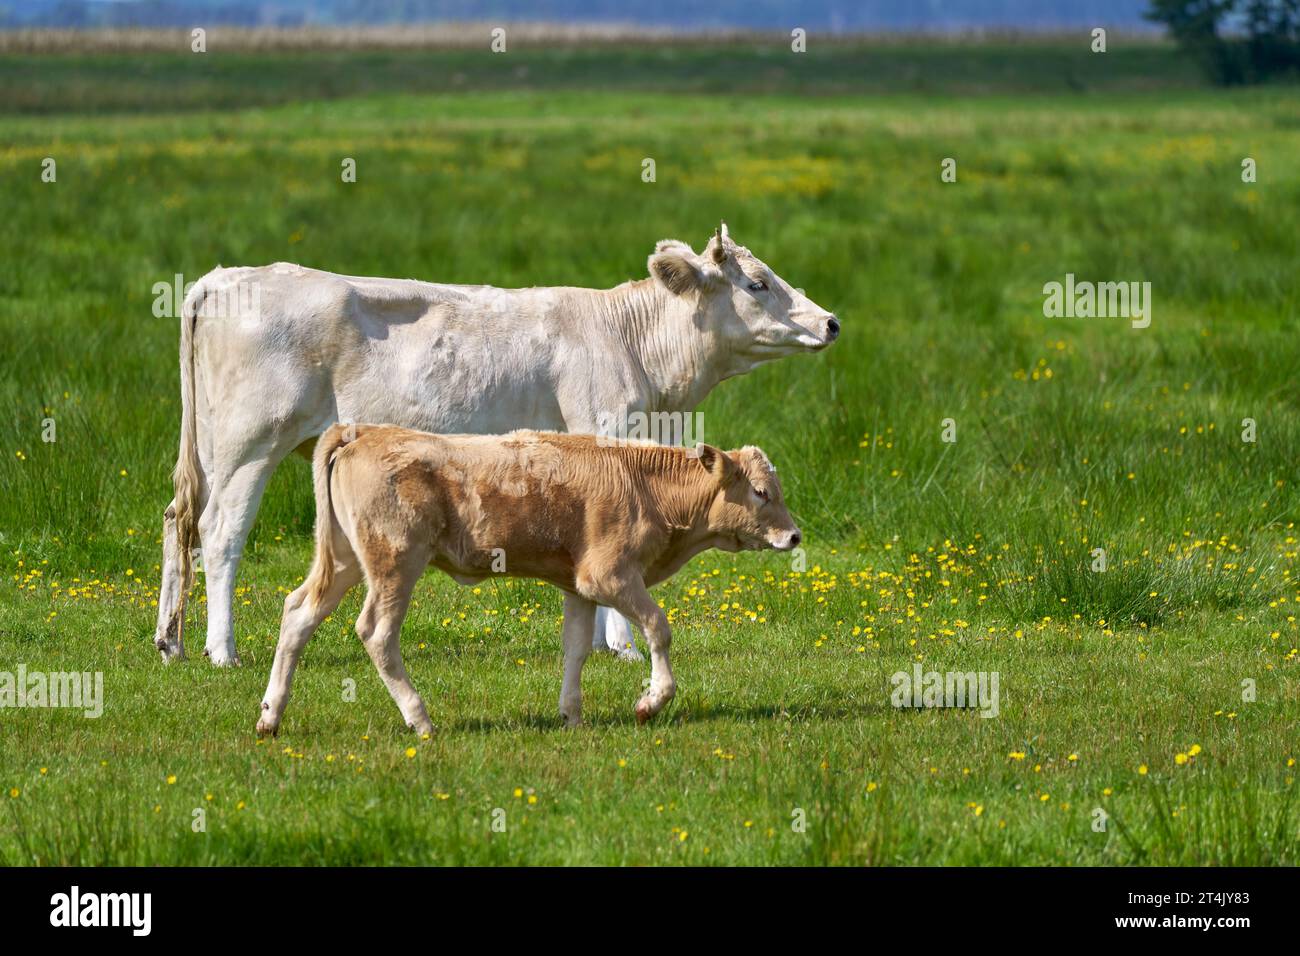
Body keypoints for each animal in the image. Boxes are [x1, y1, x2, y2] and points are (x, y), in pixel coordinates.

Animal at [154, 223, 842, 665]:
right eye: (757, 283)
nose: (831, 321)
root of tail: (225, 277)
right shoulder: (607, 433)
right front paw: (621, 646)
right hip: (250, 445)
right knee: (220, 533)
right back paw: (220, 650)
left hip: (213, 451)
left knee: (177, 521)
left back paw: (170, 641)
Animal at [253, 421, 795, 738]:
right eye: (761, 492)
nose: (795, 536)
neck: (645, 485)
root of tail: (363, 430)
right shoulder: (610, 576)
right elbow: (658, 628)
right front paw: (650, 702)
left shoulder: (579, 585)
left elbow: (576, 648)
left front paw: (571, 715)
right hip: (395, 561)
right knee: (377, 633)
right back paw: (420, 718)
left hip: (345, 558)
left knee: (298, 613)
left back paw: (270, 717)